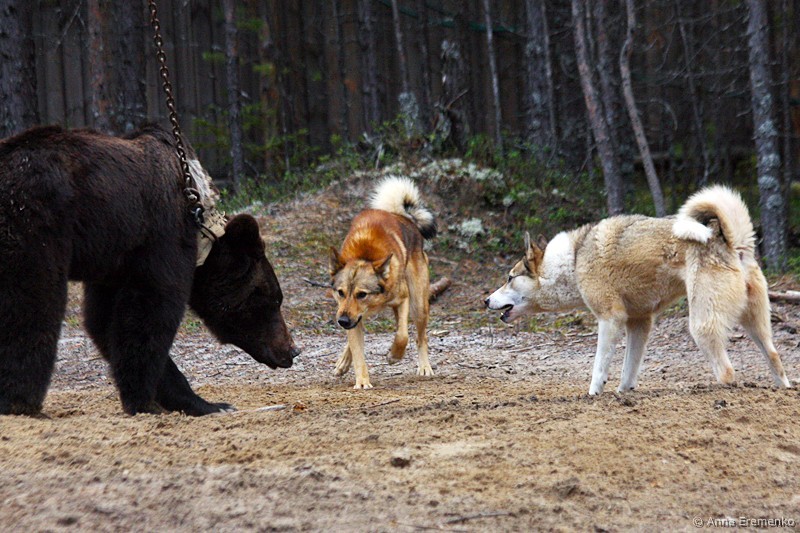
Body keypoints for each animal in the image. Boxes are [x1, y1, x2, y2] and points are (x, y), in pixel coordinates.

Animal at [0, 125, 299, 416]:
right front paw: (160, 403)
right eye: (273, 300)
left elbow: (105, 320)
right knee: (32, 302)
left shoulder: (115, 259)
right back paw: (22, 403)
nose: (292, 350)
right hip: (36, 220)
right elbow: (150, 312)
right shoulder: (161, 237)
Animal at [329, 177, 437, 389]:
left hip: (418, 305)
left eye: (362, 294)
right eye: (340, 292)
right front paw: (362, 382)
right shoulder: (352, 315)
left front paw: (394, 356)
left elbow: (403, 336)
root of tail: (401, 216)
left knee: (421, 337)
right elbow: (358, 353)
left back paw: (424, 367)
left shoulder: (402, 300)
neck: (365, 256)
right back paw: (343, 362)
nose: (342, 321)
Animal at [486, 185, 791, 395]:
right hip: (756, 327)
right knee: (775, 359)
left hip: (701, 327)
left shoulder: (610, 319)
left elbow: (599, 367)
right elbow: (628, 370)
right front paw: (624, 394)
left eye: (509, 278)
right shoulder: (639, 323)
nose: (486, 300)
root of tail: (728, 239)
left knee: (727, 373)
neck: (572, 260)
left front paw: (594, 393)